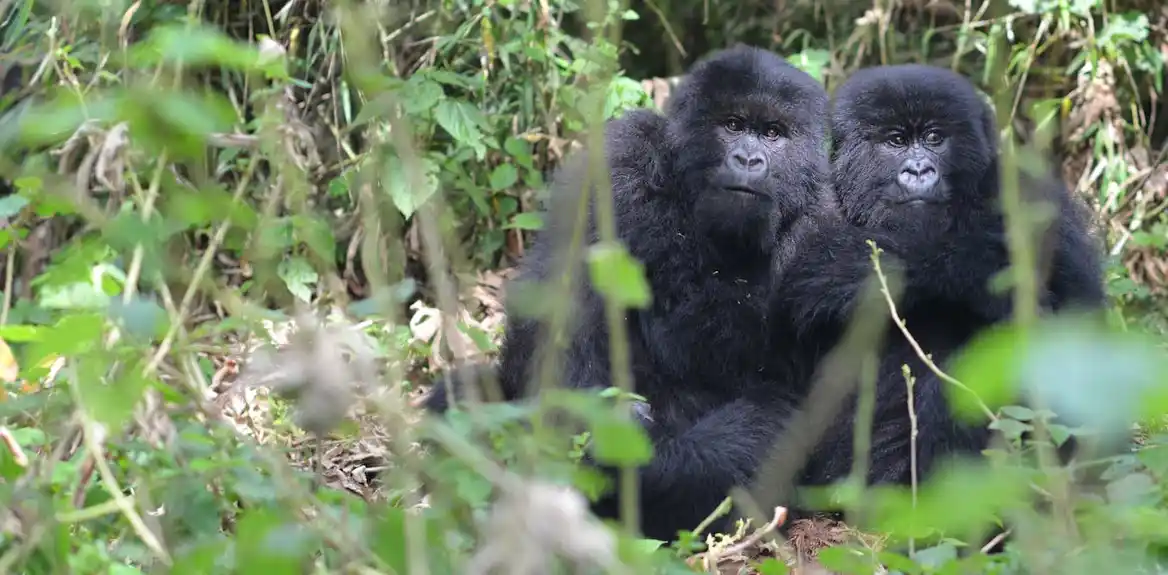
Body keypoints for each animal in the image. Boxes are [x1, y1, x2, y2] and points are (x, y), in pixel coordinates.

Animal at [425, 43, 836, 539]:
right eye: (734, 125)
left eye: (774, 133)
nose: (749, 160)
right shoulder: (618, 159)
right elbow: (560, 292)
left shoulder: (827, 225)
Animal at [766, 62, 1102, 504]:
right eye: (895, 141)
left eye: (933, 138)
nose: (919, 170)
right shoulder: (805, 215)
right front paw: (977, 269)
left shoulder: (1035, 202)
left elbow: (1081, 321)